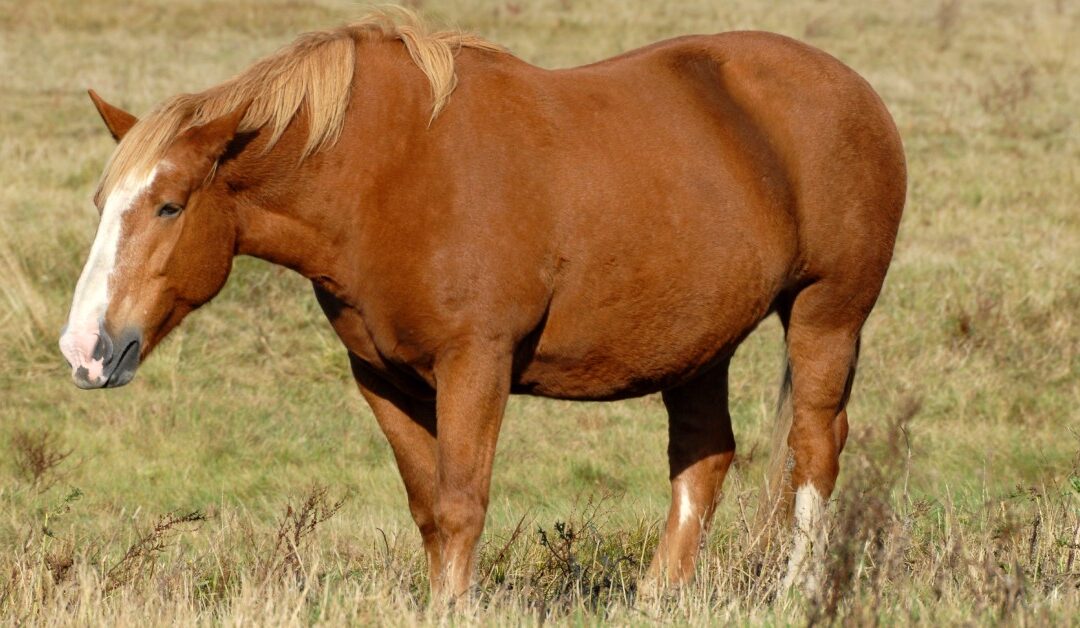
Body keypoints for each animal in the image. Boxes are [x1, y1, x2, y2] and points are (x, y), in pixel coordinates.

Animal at [59, 8, 905, 599]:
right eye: (102, 203)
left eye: (169, 205)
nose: (84, 349)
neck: (387, 176)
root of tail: (857, 90)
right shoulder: (385, 379)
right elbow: (431, 510)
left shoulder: (476, 364)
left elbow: (463, 504)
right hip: (700, 343)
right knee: (706, 456)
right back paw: (660, 596)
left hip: (828, 313)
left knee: (815, 447)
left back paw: (798, 590)